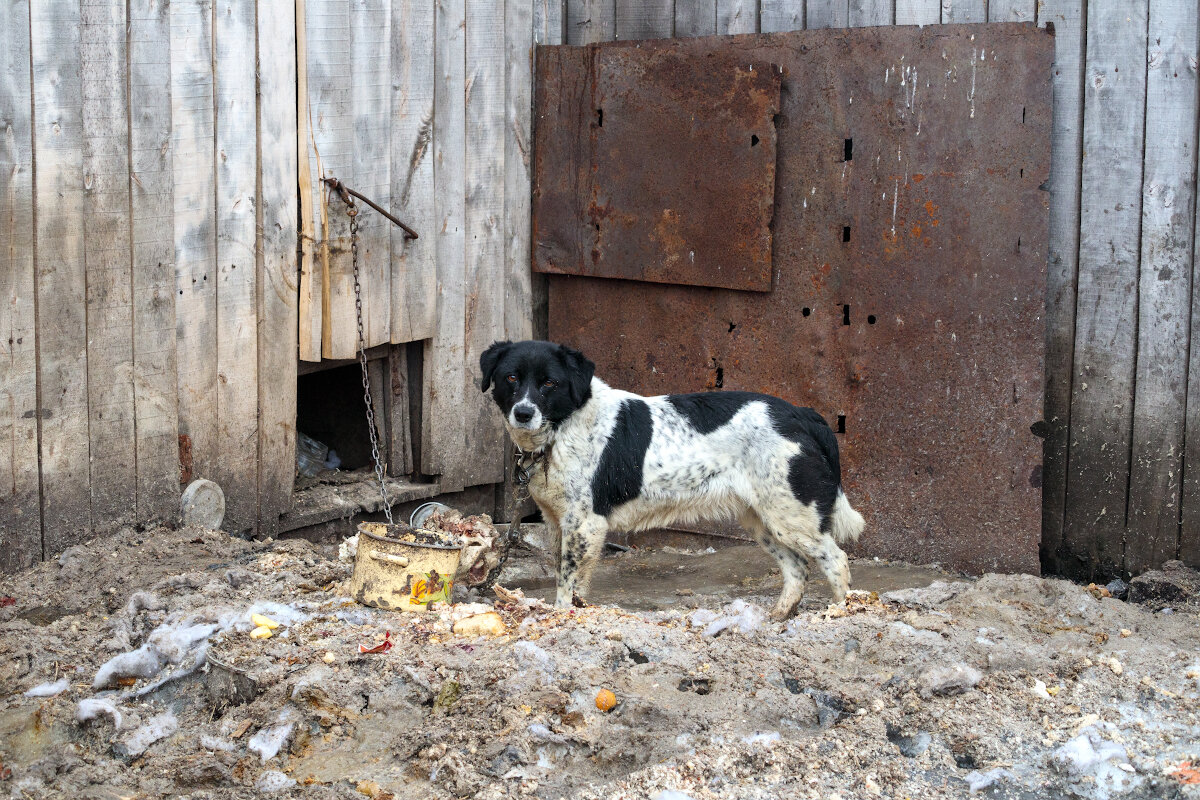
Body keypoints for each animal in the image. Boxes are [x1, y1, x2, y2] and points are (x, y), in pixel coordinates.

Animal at [477, 340, 864, 618]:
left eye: (550, 383)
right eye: (510, 378)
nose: (523, 413)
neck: (563, 427)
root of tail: (803, 414)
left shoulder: (585, 523)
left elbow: (568, 583)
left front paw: (561, 620)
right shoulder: (557, 521)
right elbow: (568, 579)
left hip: (793, 515)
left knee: (836, 559)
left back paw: (842, 614)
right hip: (763, 519)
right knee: (797, 568)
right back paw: (779, 617)